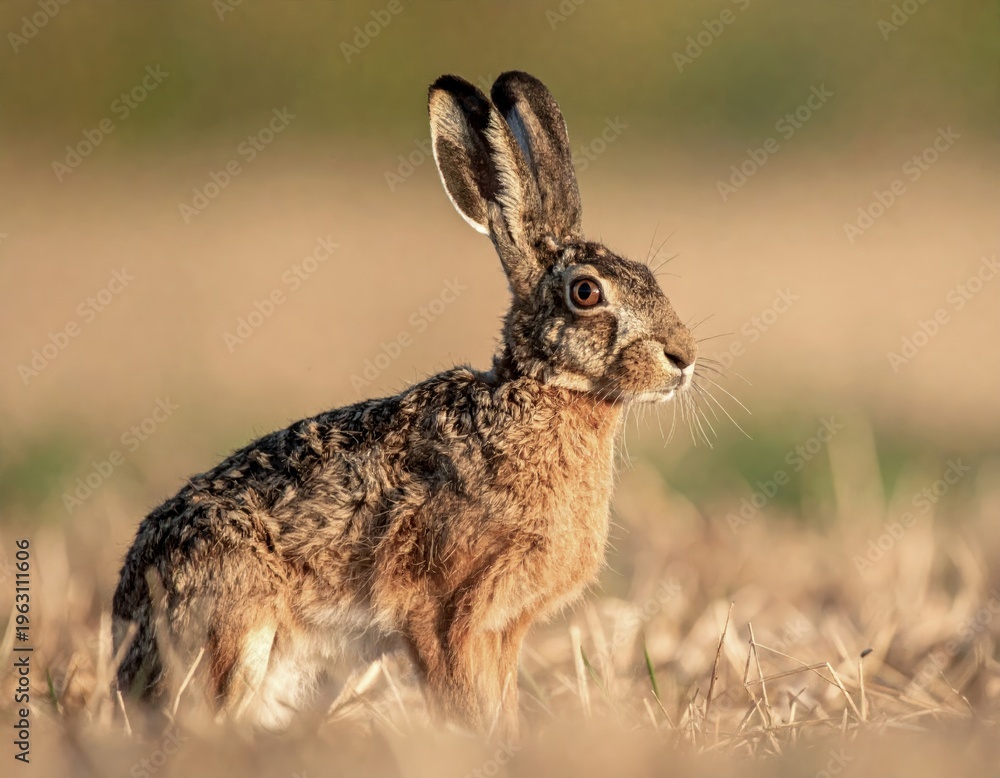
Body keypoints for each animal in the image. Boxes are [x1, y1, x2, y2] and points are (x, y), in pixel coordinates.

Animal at [112, 70, 698, 741]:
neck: (540, 393)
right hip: (235, 626)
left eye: (649, 275)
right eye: (586, 293)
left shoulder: (503, 625)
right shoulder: (444, 611)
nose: (684, 358)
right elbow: (463, 701)